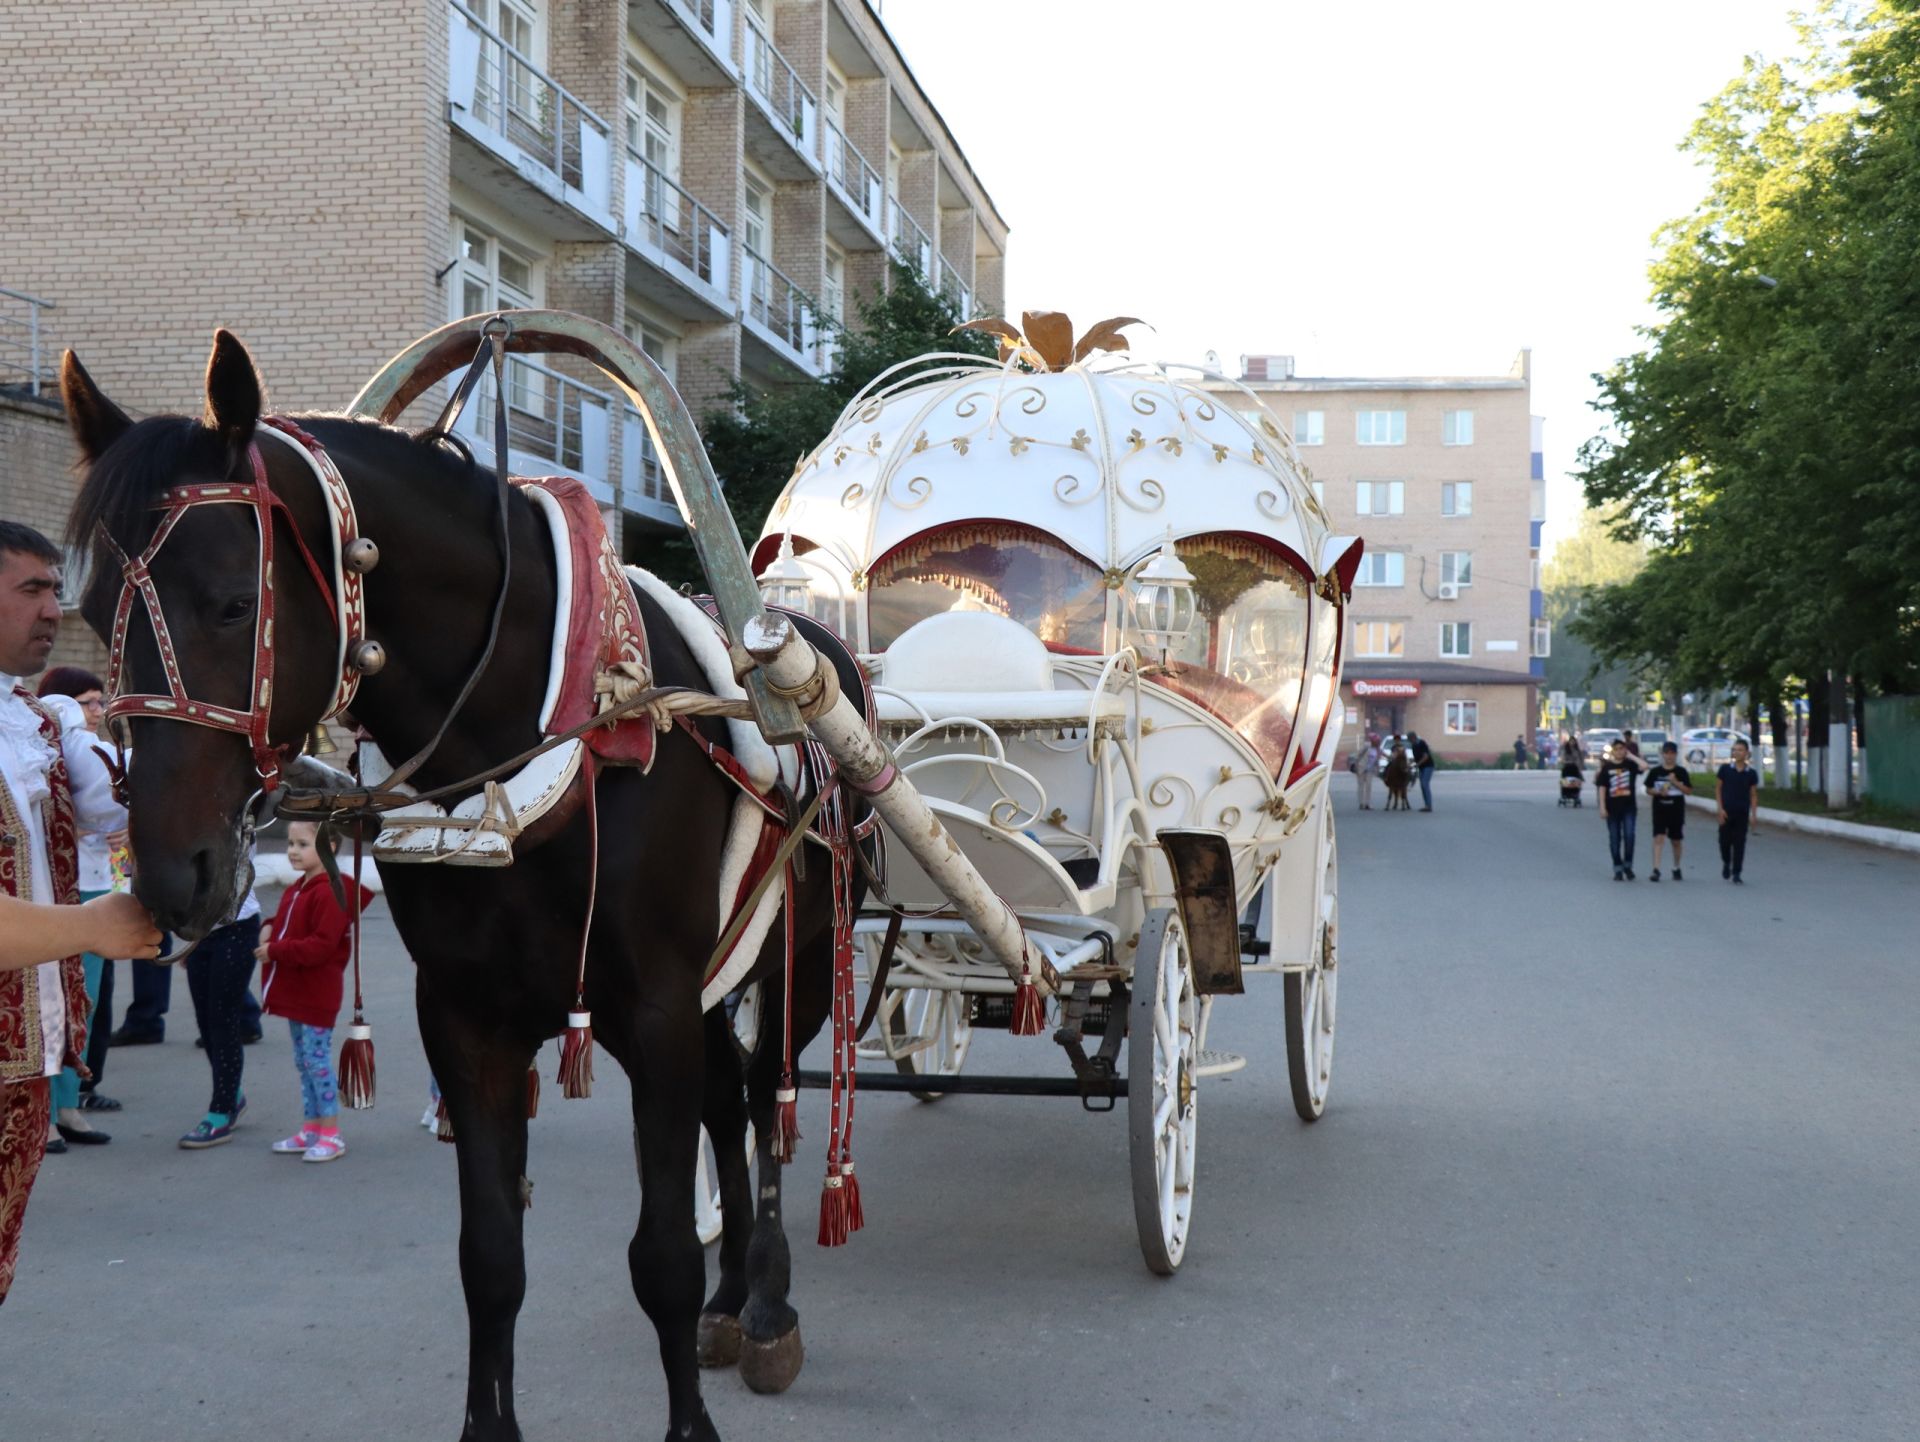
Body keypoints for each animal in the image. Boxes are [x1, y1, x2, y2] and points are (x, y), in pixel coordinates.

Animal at [61, 332, 856, 1436]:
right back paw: (736, 1295)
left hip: (800, 964)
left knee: (769, 1101)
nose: (178, 873)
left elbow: (659, 1257)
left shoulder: (654, 1005)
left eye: (231, 601)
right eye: (96, 613)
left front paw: (691, 1416)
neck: (541, 721)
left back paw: (771, 1304)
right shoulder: (468, 1018)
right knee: (730, 1107)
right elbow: (489, 1259)